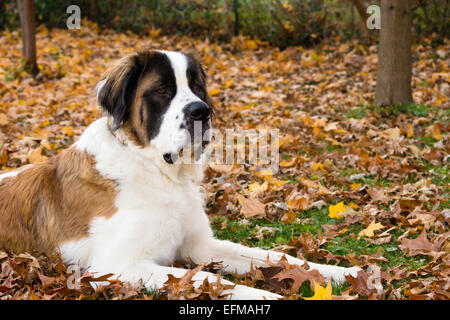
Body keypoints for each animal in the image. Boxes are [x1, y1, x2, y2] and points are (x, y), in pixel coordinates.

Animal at [0, 49, 358, 298]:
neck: (158, 171)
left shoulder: (199, 244)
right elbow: (208, 277)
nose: (201, 111)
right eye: (161, 90)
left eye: (197, 86)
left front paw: (341, 272)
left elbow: (275, 256)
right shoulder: (116, 265)